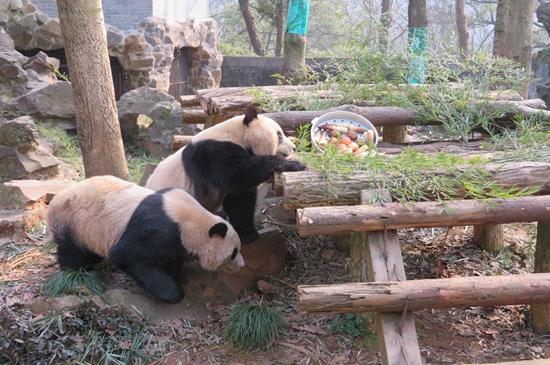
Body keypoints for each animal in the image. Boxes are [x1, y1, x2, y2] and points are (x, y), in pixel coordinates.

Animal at [46, 175, 245, 302]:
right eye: (234, 253)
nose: (242, 265)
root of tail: (55, 200)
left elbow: (170, 259)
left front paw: (175, 275)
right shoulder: (155, 230)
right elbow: (128, 256)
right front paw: (171, 291)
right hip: (72, 220)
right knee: (71, 251)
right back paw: (77, 272)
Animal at [147, 104, 308, 243]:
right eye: (279, 135)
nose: (293, 148)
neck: (238, 135)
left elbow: (239, 199)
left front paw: (247, 233)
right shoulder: (211, 153)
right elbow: (239, 175)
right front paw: (294, 164)